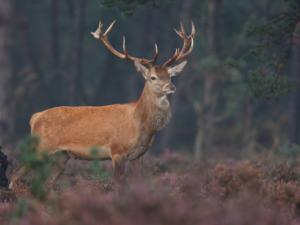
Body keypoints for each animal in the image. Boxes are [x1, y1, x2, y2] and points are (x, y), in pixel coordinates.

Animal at [8, 18, 195, 190]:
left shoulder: (139, 156)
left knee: (46, 183)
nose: (171, 87)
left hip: (61, 156)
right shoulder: (117, 151)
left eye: (170, 76)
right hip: (40, 148)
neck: (141, 124)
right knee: (15, 175)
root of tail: (35, 117)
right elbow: (118, 185)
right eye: (153, 77)